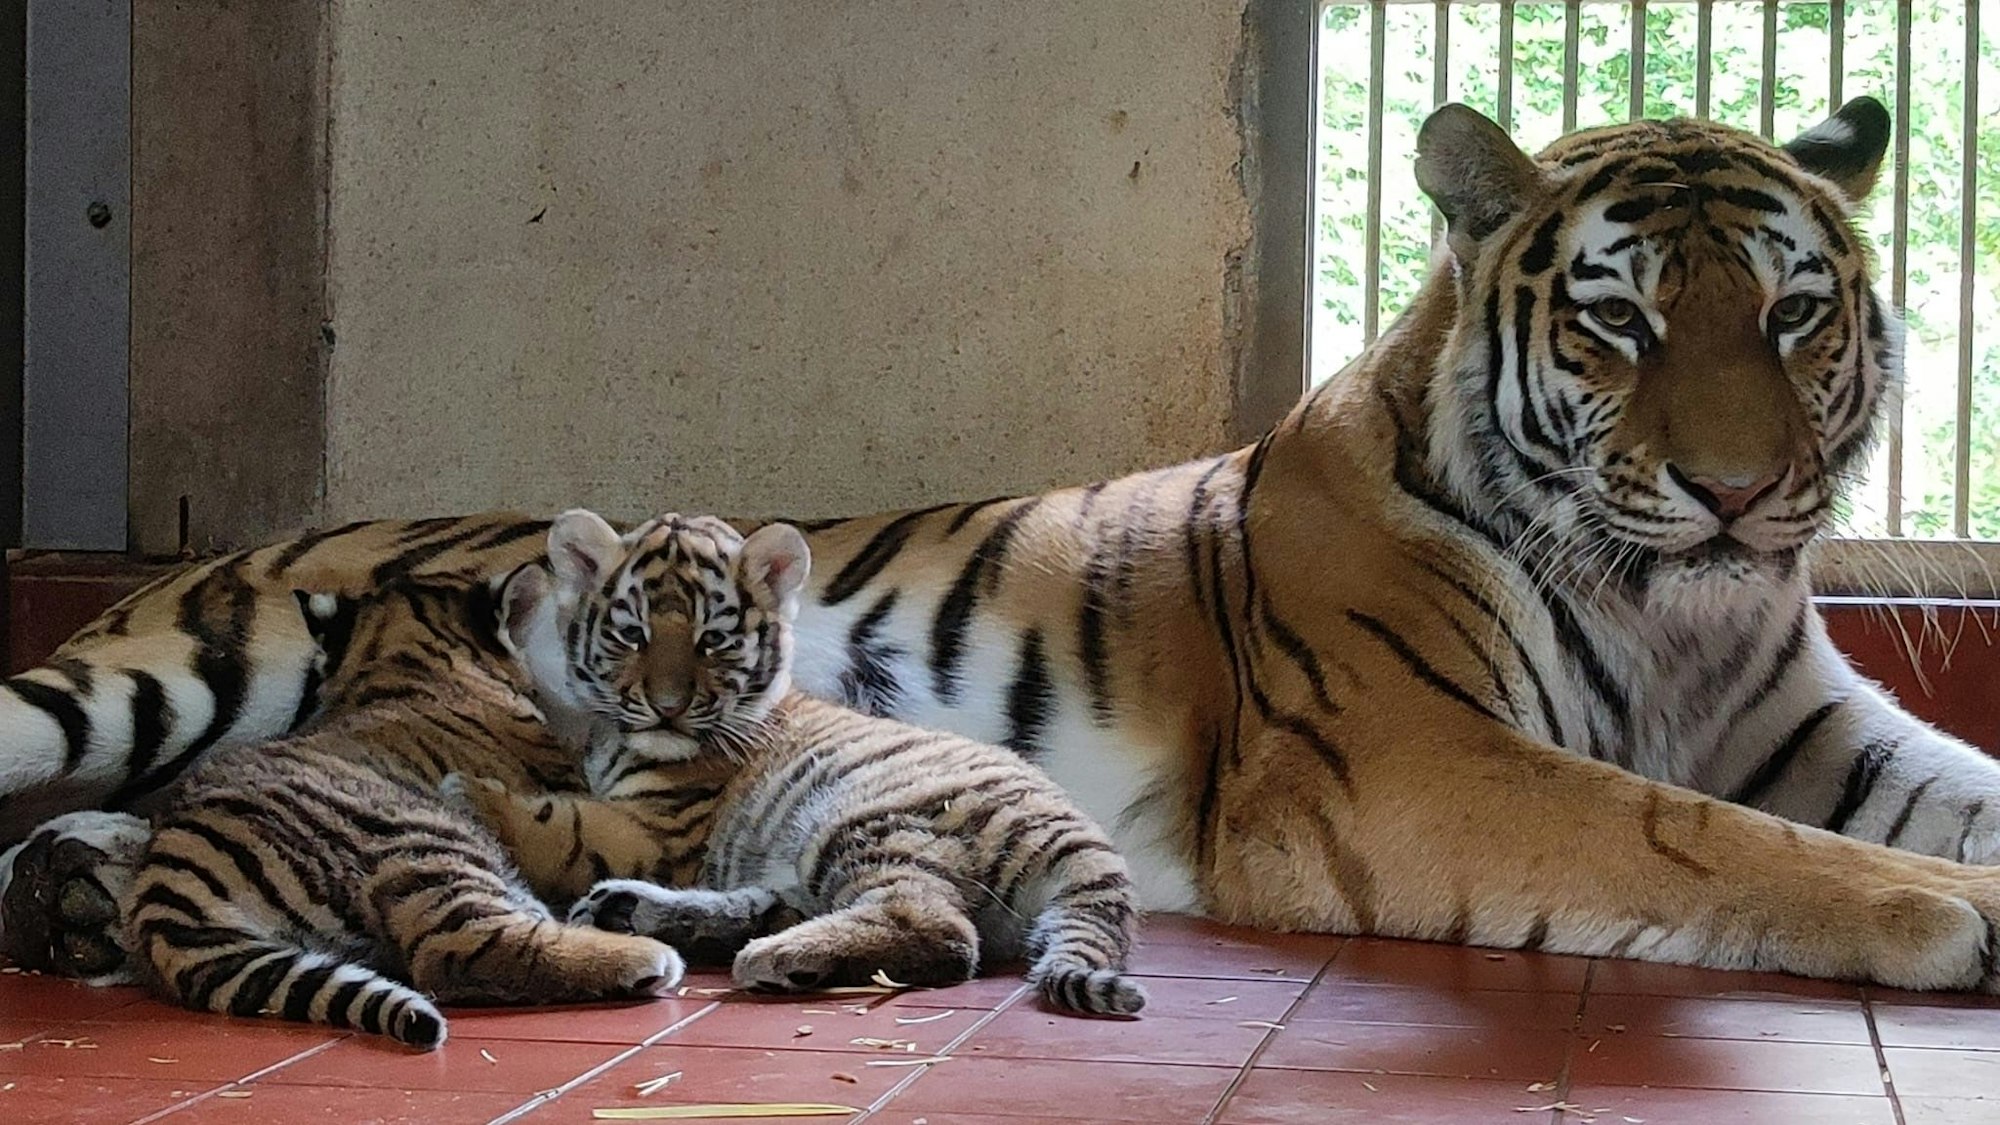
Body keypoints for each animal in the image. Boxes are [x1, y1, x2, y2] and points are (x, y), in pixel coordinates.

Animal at [447, 509, 1147, 1016]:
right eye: (632, 635)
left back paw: (778, 957)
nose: (668, 708)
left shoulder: (658, 832)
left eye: (713, 640)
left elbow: (563, 824)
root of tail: (1080, 833)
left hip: (860, 820)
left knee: (938, 928)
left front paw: (466, 790)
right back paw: (633, 910)